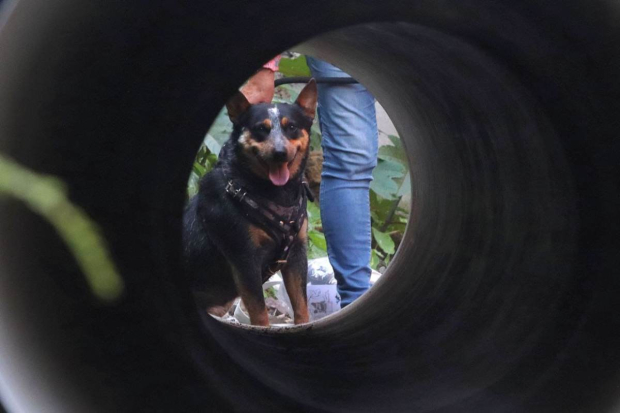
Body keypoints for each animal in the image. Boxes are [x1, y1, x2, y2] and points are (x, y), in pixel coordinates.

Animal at [182, 79, 318, 326]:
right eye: (261, 129)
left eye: (292, 127)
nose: (280, 152)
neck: (276, 194)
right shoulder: (244, 260)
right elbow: (260, 313)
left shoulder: (296, 254)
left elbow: (302, 308)